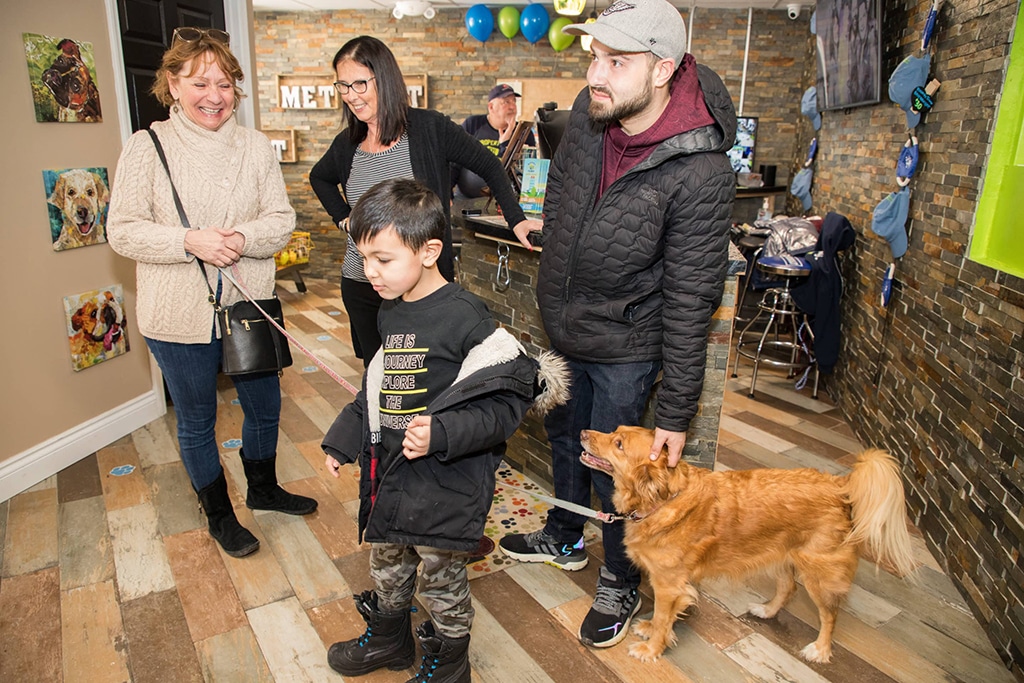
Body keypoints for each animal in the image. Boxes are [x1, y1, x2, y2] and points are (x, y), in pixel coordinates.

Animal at [581, 423, 917, 663]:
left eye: (619, 444)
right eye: (614, 431)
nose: (583, 432)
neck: (662, 500)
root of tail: (839, 486)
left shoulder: (669, 584)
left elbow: (665, 618)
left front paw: (652, 648)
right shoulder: (671, 586)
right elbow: (665, 617)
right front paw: (651, 630)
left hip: (819, 573)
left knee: (830, 614)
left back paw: (820, 650)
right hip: (781, 556)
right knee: (788, 588)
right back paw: (767, 611)